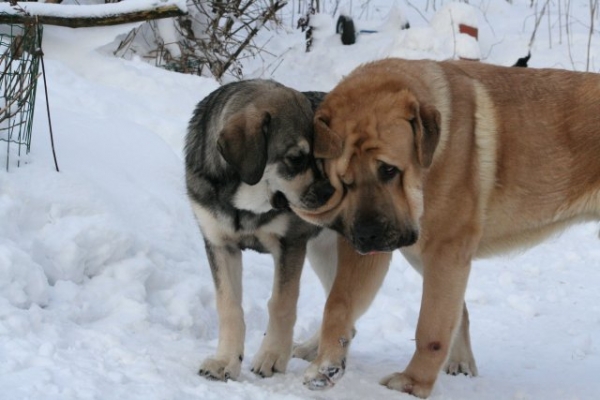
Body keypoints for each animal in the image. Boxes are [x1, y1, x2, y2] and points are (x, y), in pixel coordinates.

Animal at [185, 79, 338, 382]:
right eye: (295, 158)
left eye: (321, 155)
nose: (331, 194)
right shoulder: (219, 244)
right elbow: (229, 306)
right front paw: (225, 361)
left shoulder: (290, 244)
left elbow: (281, 303)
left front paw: (273, 356)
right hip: (324, 252)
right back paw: (312, 349)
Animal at [292, 58, 600, 396]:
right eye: (344, 181)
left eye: (389, 170)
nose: (367, 235)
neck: (431, 162)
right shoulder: (371, 252)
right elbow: (338, 303)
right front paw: (325, 365)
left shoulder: (446, 252)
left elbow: (431, 328)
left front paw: (413, 383)